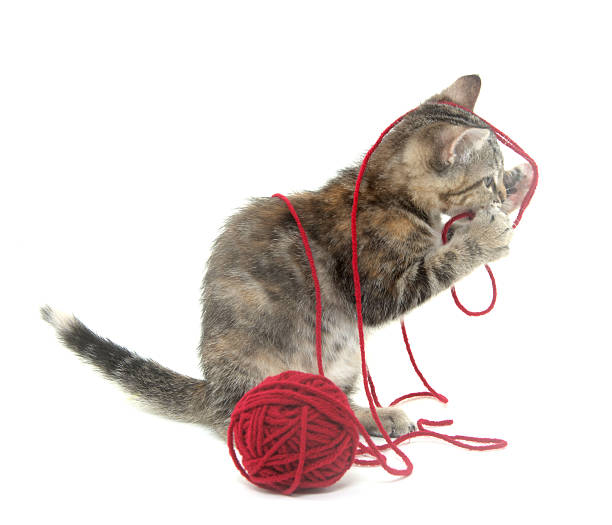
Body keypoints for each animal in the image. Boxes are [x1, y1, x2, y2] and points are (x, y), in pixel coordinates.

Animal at [41, 74, 532, 438]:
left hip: (344, 359)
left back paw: (371, 417)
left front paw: (519, 182)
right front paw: (485, 234)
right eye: (485, 179)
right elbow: (438, 264)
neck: (386, 191)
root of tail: (214, 391)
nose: (500, 190)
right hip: (258, 367)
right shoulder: (375, 289)